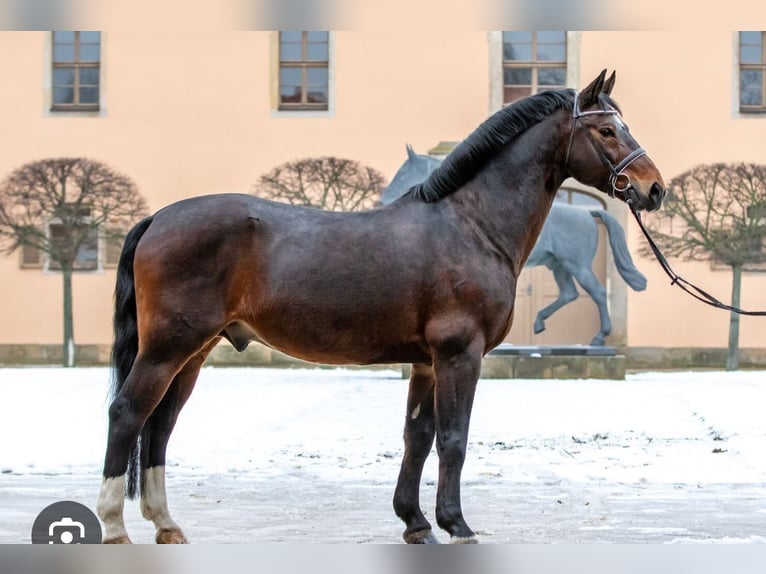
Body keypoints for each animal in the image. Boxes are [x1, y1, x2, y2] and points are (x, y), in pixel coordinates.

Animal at [382, 150, 648, 346]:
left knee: (597, 292)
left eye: (403, 172)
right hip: (558, 266)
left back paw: (599, 338)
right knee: (569, 294)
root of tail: (588, 213)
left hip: (576, 266)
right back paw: (539, 323)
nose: (383, 199)